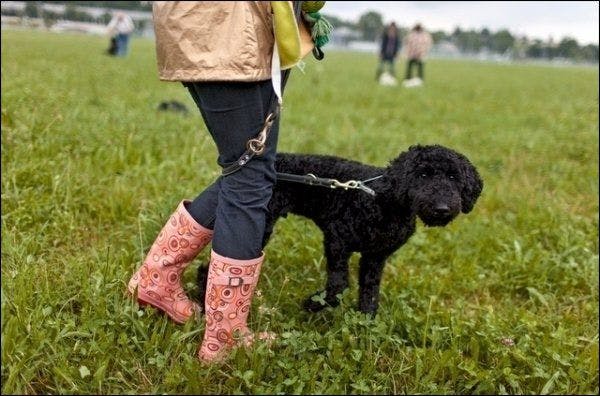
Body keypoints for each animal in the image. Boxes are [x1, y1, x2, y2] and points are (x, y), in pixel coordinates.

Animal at [199, 144, 486, 314]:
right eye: (423, 175)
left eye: (453, 177)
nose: (442, 208)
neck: (383, 199)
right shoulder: (337, 240)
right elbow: (340, 283)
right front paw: (316, 303)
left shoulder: (375, 257)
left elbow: (369, 290)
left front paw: (366, 321)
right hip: (261, 225)